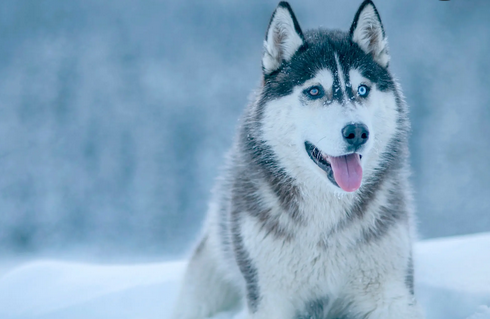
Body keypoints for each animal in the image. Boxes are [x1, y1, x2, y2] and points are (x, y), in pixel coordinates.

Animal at [174, 1, 424, 318]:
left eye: (362, 89)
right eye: (314, 90)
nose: (357, 132)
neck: (325, 221)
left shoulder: (391, 291)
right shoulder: (271, 297)